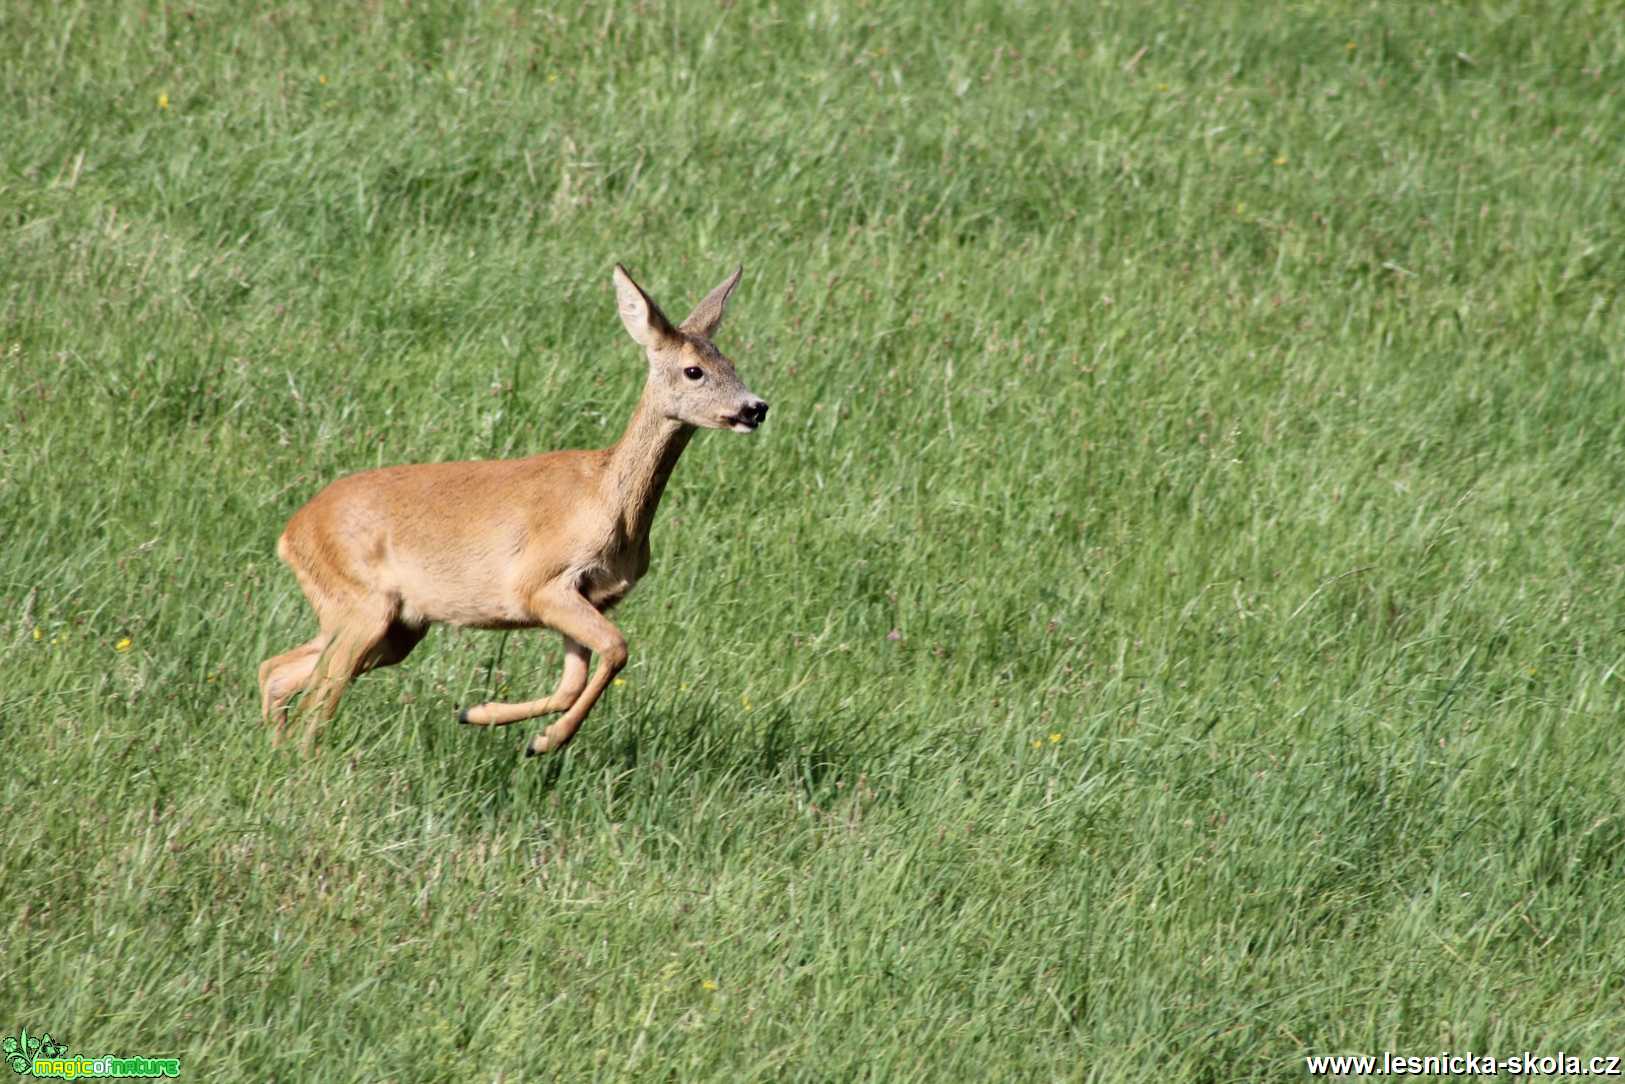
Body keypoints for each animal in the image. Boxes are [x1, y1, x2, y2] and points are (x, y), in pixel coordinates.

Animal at [258, 263, 767, 754]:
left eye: (731, 362)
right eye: (694, 370)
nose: (755, 407)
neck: (608, 502)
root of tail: (290, 534)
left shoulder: (588, 596)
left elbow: (572, 682)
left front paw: (492, 720)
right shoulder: (541, 583)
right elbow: (617, 649)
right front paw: (544, 739)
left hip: (394, 626)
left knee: (277, 669)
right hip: (361, 603)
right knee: (319, 692)